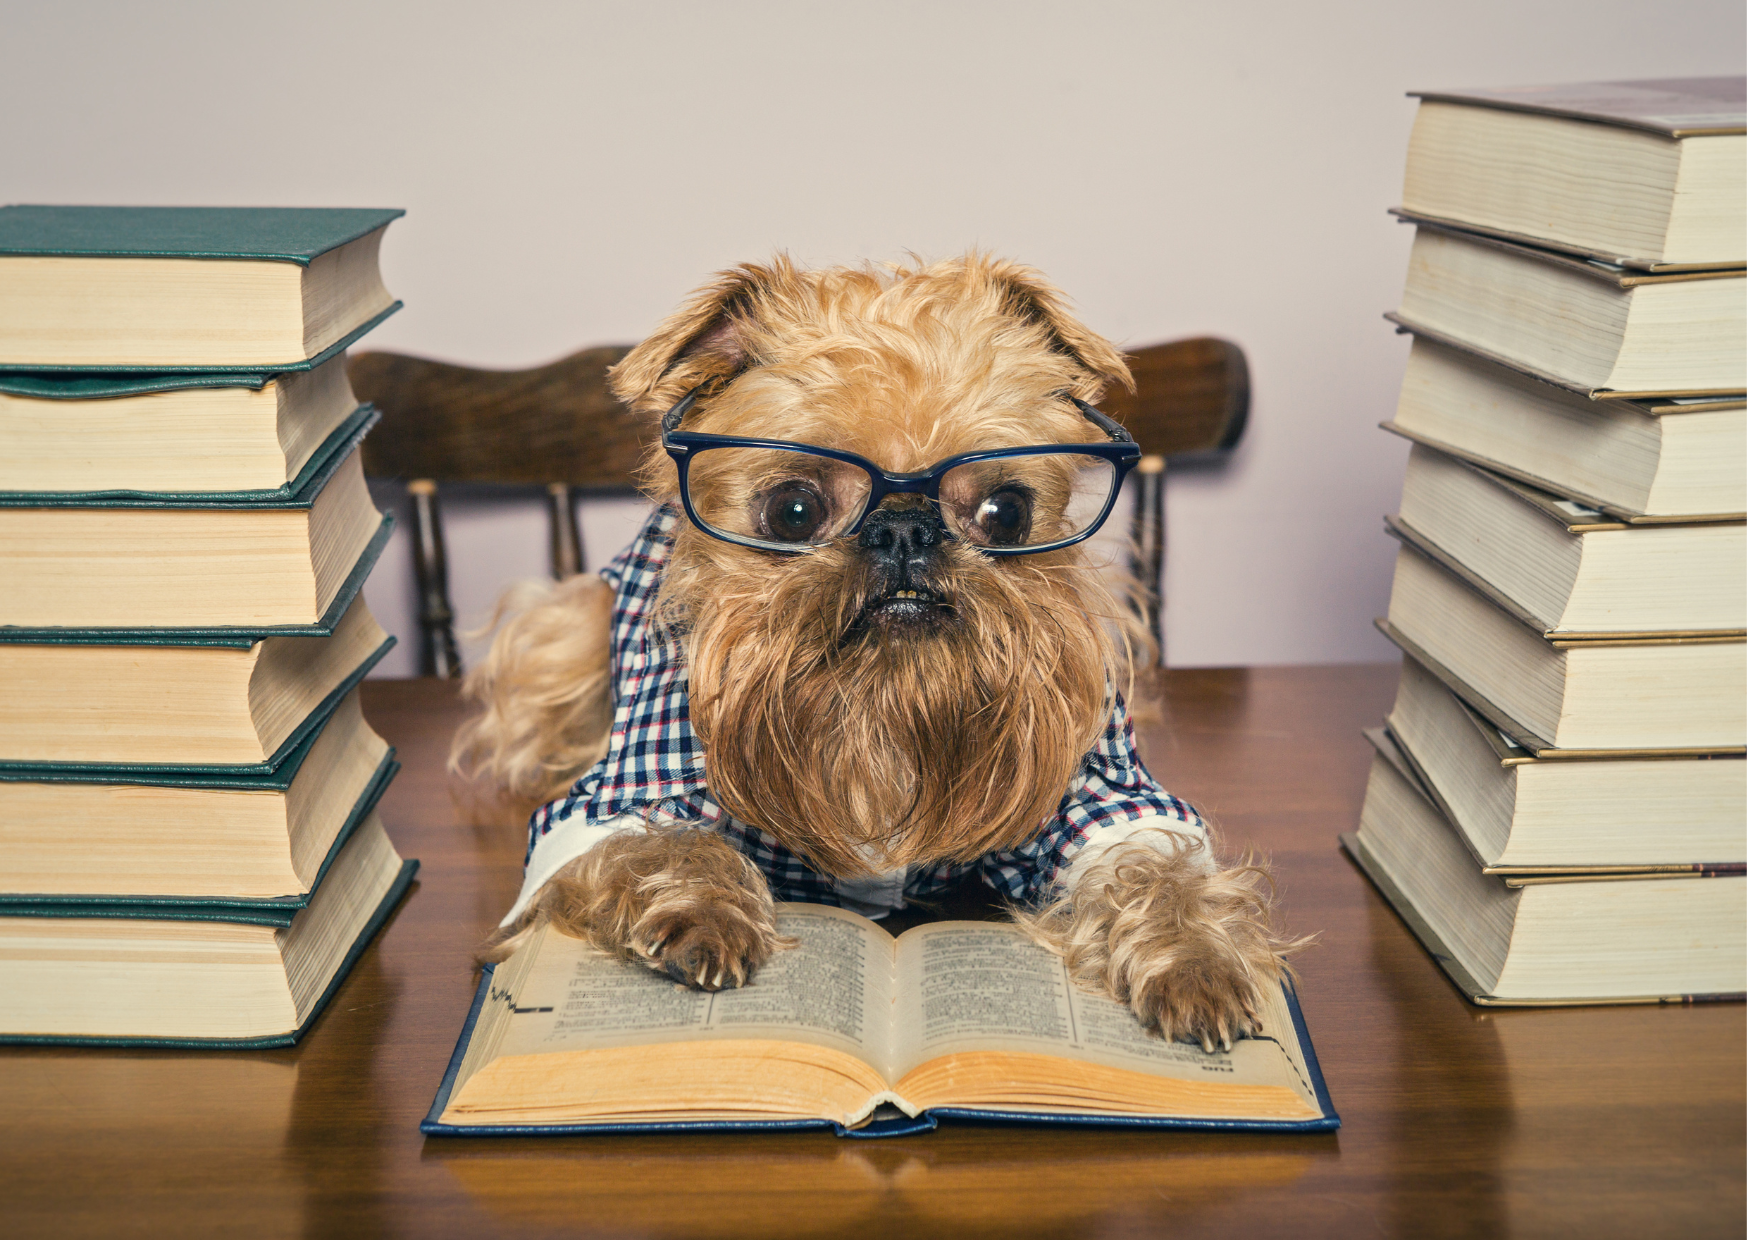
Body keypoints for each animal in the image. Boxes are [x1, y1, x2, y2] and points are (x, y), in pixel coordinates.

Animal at [450, 257, 1300, 1049]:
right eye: (793, 511)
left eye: (1006, 511)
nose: (904, 528)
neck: (884, 702)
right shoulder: (608, 797)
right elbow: (663, 840)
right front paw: (704, 908)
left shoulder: (1101, 787)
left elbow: (1154, 864)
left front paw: (1194, 956)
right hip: (566, 633)